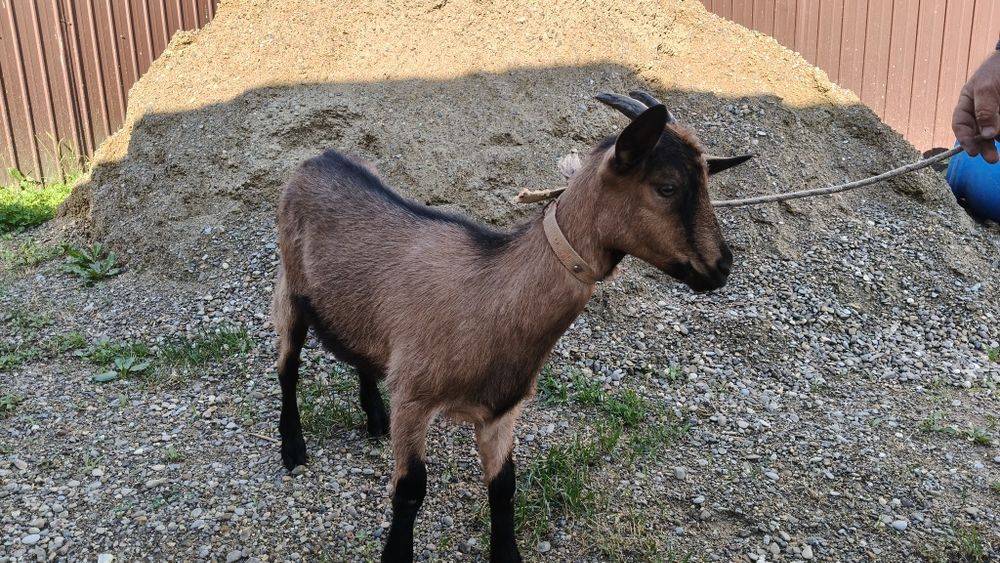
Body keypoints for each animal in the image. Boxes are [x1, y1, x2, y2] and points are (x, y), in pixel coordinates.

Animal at [271, 91, 752, 563]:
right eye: (667, 187)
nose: (722, 267)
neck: (491, 293)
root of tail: (318, 158)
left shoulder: (501, 410)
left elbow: (504, 487)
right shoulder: (414, 397)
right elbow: (409, 491)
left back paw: (374, 416)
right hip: (290, 287)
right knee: (287, 365)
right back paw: (293, 447)